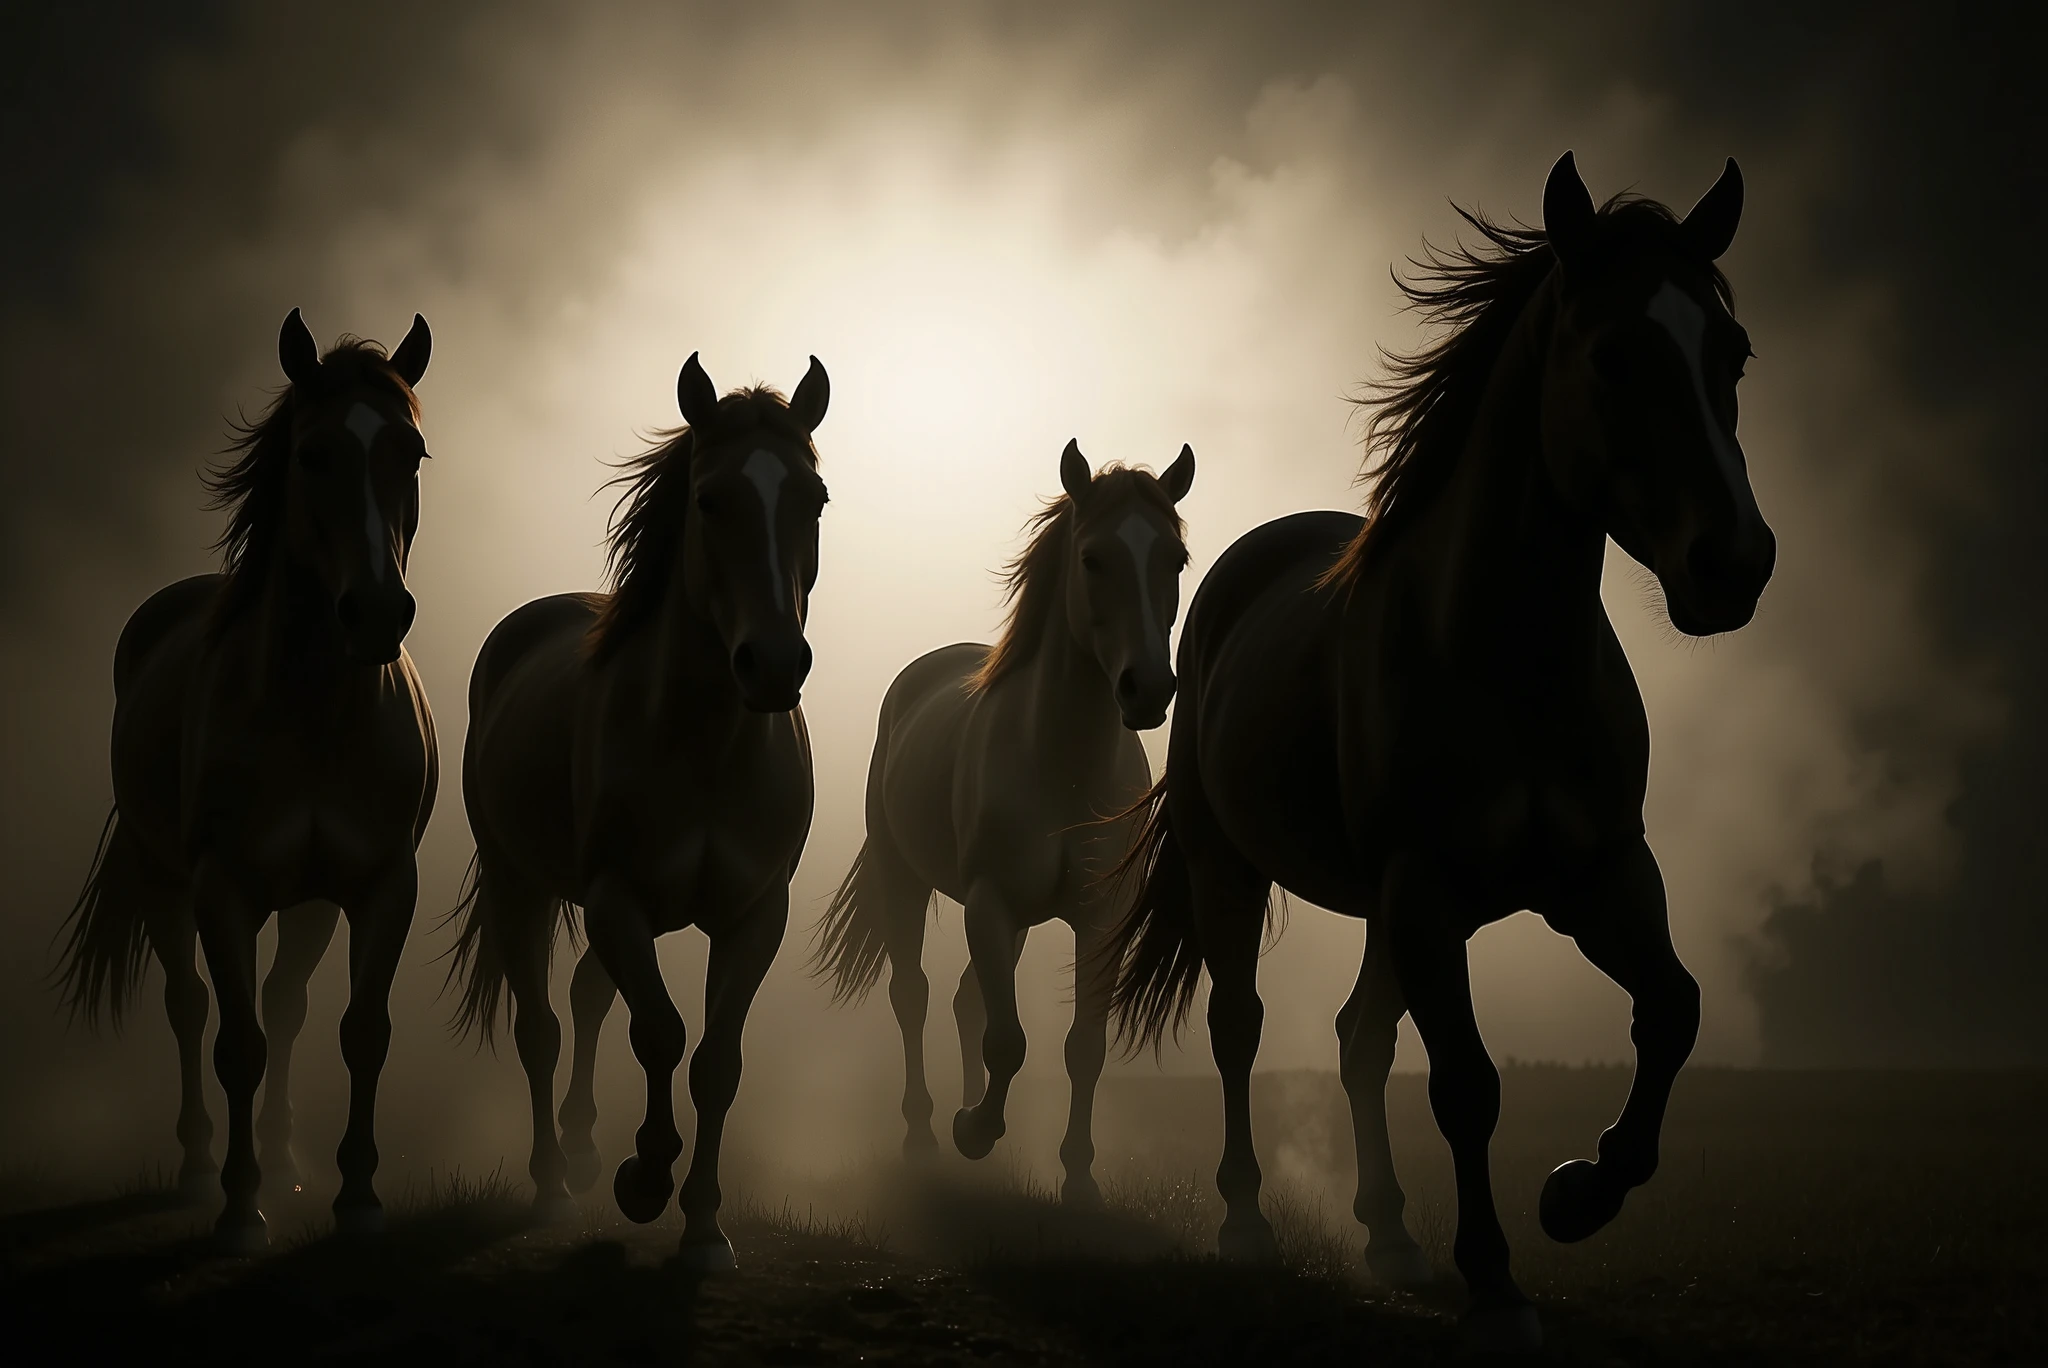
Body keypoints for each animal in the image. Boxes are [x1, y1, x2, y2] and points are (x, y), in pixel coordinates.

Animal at [57, 309, 439, 1252]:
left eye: (410, 451)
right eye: (313, 453)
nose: (377, 613)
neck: (314, 715)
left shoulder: (381, 886)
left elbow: (359, 1032)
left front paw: (357, 1197)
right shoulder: (220, 888)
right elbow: (236, 1041)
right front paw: (239, 1208)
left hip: (306, 905)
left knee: (287, 1004)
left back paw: (288, 1159)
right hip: (163, 881)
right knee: (191, 1006)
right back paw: (201, 1168)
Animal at [446, 353, 829, 1268]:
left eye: (815, 499)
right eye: (710, 499)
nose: (773, 664)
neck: (704, 746)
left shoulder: (754, 913)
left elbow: (717, 1061)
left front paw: (704, 1228)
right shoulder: (616, 896)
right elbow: (658, 1033)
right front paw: (645, 1180)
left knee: (588, 993)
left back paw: (584, 1148)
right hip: (519, 885)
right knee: (542, 1026)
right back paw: (555, 1183)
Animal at [811, 442, 1196, 1205]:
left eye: (1175, 559)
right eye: (1093, 558)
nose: (1147, 689)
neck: (1063, 768)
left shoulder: (1098, 918)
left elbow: (1082, 1046)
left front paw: (1077, 1176)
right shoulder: (989, 904)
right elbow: (1008, 1041)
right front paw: (974, 1130)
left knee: (965, 1000)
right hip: (908, 882)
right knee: (915, 996)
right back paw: (927, 1136)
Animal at [1104, 153, 1773, 1351]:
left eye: (1728, 352)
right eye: (1613, 353)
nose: (1732, 564)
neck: (1508, 665)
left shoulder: (1601, 876)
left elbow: (1674, 1008)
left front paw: (1578, 1191)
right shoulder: (1426, 889)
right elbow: (1466, 1084)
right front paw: (1497, 1283)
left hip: (1391, 908)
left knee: (1358, 1037)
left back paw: (1389, 1235)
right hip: (1241, 872)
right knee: (1241, 1028)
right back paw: (1247, 1223)